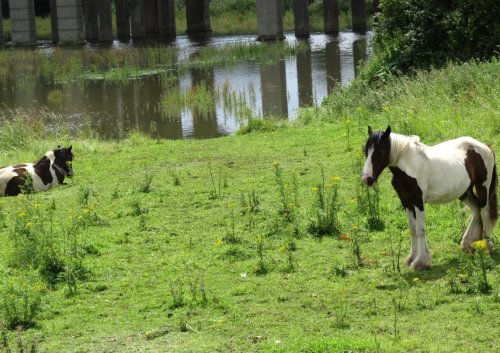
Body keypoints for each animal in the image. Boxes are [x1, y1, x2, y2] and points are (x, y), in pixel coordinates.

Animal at [362, 126, 498, 270]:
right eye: (366, 151)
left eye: (380, 150)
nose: (367, 179)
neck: (409, 165)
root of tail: (486, 147)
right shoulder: (406, 202)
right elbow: (412, 229)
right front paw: (411, 258)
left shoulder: (418, 201)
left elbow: (420, 229)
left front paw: (421, 262)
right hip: (464, 192)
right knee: (476, 211)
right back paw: (469, 244)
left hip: (482, 187)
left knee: (484, 212)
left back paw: (487, 246)